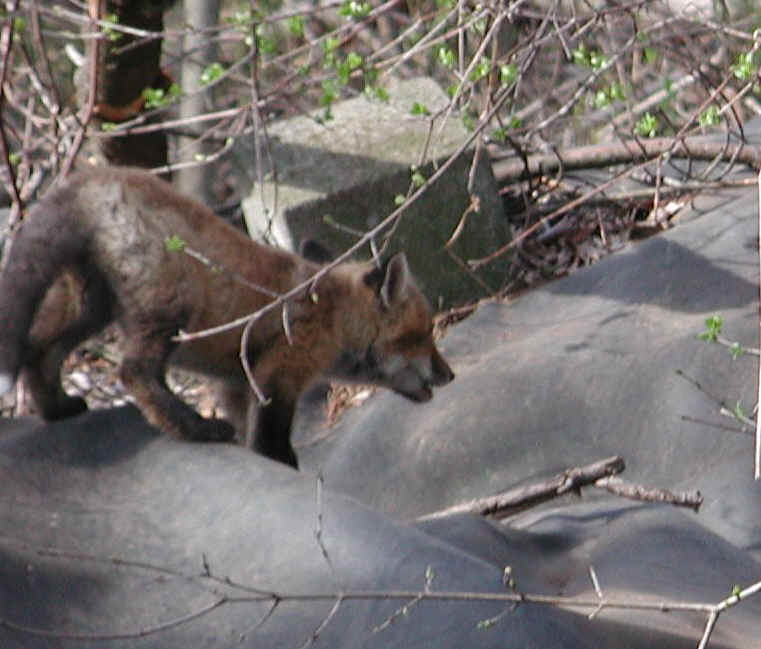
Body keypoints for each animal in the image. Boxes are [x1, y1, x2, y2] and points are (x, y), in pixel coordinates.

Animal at [0, 167, 454, 468]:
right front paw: (283, 471)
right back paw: (197, 429)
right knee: (134, 373)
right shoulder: (277, 373)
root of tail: (97, 175)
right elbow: (272, 442)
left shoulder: (236, 384)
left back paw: (57, 408)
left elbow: (251, 435)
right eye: (424, 334)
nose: (450, 375)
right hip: (167, 312)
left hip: (89, 307)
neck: (334, 316)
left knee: (38, 349)